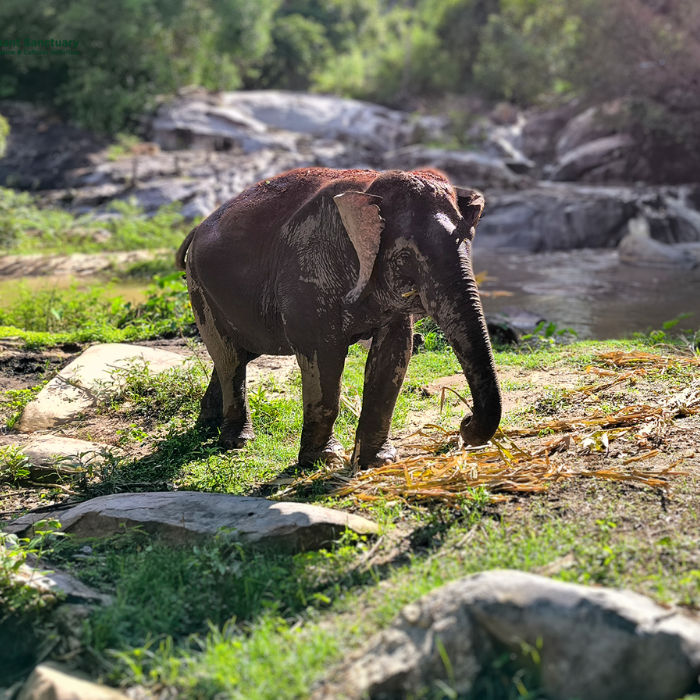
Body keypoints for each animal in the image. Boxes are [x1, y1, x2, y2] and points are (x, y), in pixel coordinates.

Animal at [178, 167, 500, 468]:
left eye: (467, 242)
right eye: (405, 257)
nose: (464, 424)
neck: (369, 192)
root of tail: (197, 228)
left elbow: (394, 354)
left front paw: (377, 462)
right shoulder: (308, 271)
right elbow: (323, 355)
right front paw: (324, 460)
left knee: (238, 355)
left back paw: (207, 424)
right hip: (199, 287)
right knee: (230, 357)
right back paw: (236, 440)